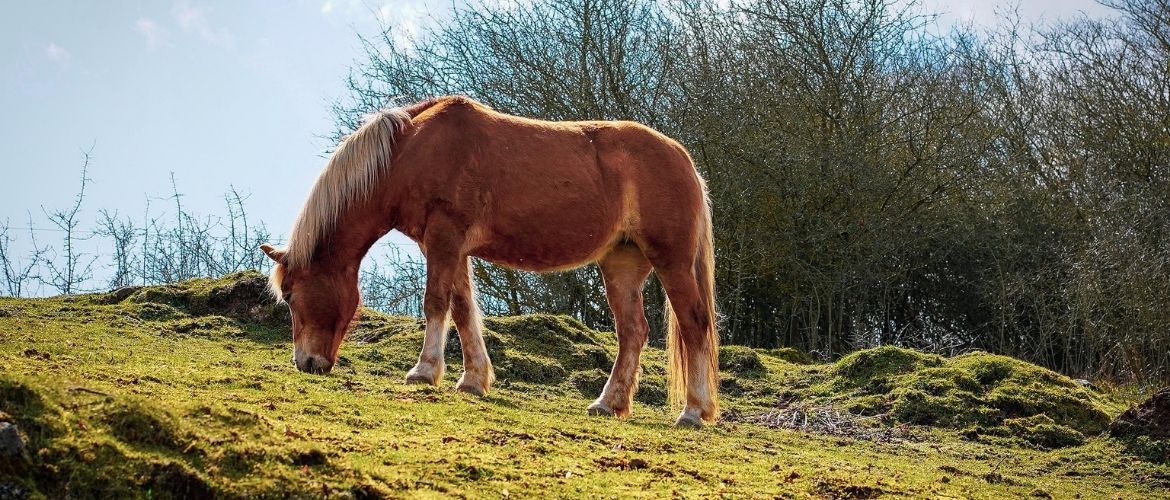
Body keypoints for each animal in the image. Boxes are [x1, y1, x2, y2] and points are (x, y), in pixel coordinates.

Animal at [263, 96, 720, 423]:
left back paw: (693, 411)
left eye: (291, 295)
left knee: (694, 324)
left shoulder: (444, 238)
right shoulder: (448, 247)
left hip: (672, 262)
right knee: (632, 332)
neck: (410, 153)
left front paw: (424, 372)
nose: (306, 363)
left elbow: (435, 303)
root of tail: (685, 161)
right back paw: (609, 403)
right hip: (621, 265)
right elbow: (463, 310)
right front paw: (473, 379)